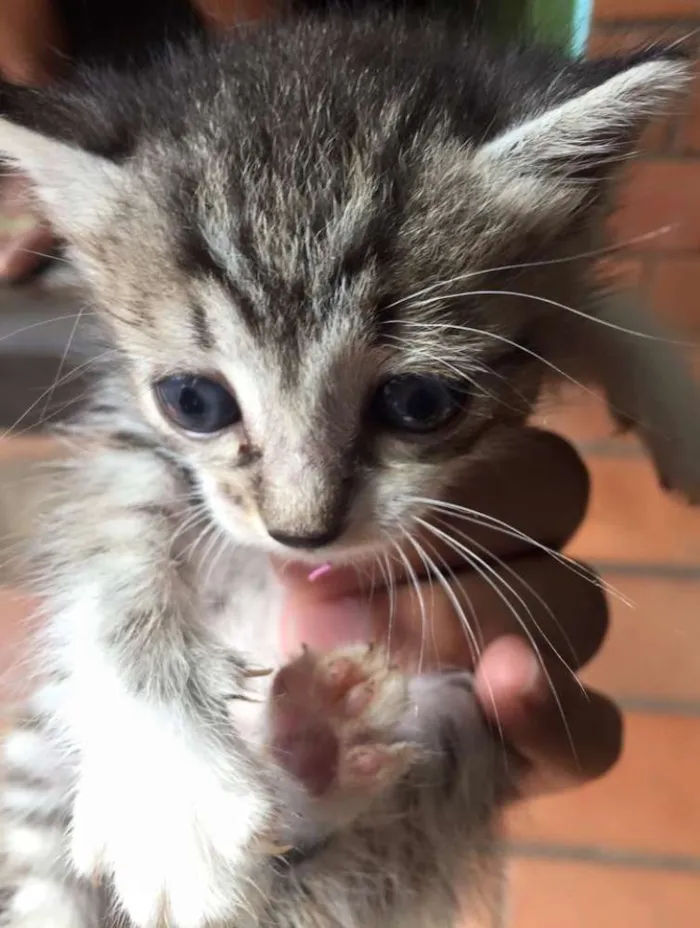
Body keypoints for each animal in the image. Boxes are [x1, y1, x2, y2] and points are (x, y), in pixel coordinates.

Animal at [0, 12, 696, 928]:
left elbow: (583, 299)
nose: (303, 533)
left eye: (419, 403)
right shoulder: (129, 430)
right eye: (194, 400)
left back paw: (318, 751)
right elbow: (111, 549)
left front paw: (670, 394)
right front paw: (175, 790)